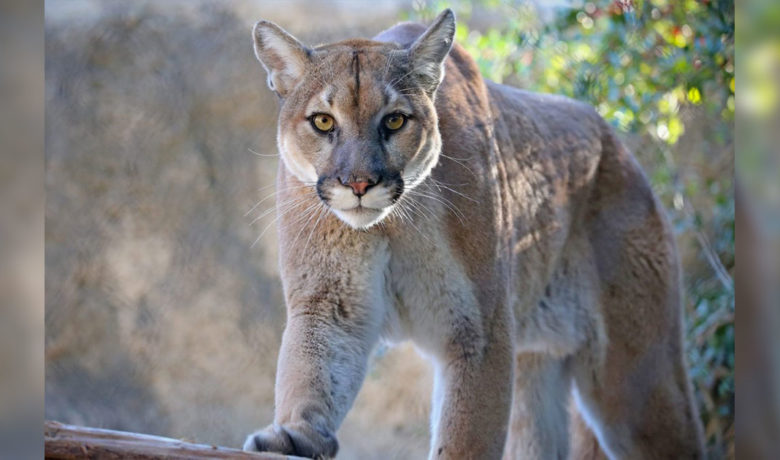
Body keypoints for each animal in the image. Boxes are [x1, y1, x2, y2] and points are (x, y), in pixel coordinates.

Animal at [242, 9, 705, 459]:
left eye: (395, 120)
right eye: (323, 121)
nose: (359, 183)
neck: (392, 223)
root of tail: (620, 148)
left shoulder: (480, 328)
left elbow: (467, 433)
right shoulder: (331, 301)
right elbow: (312, 367)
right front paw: (294, 434)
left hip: (637, 381)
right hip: (535, 375)